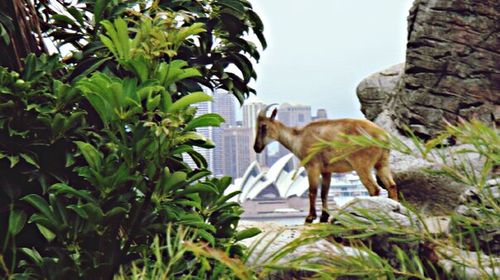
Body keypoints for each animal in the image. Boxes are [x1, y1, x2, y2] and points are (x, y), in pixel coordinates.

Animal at [254, 104, 398, 224]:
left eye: (264, 126)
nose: (256, 147)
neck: (298, 137)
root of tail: (384, 137)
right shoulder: (326, 171)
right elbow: (324, 193)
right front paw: (324, 217)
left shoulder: (312, 167)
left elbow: (312, 191)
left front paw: (310, 217)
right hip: (382, 163)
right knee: (391, 185)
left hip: (362, 166)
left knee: (374, 189)